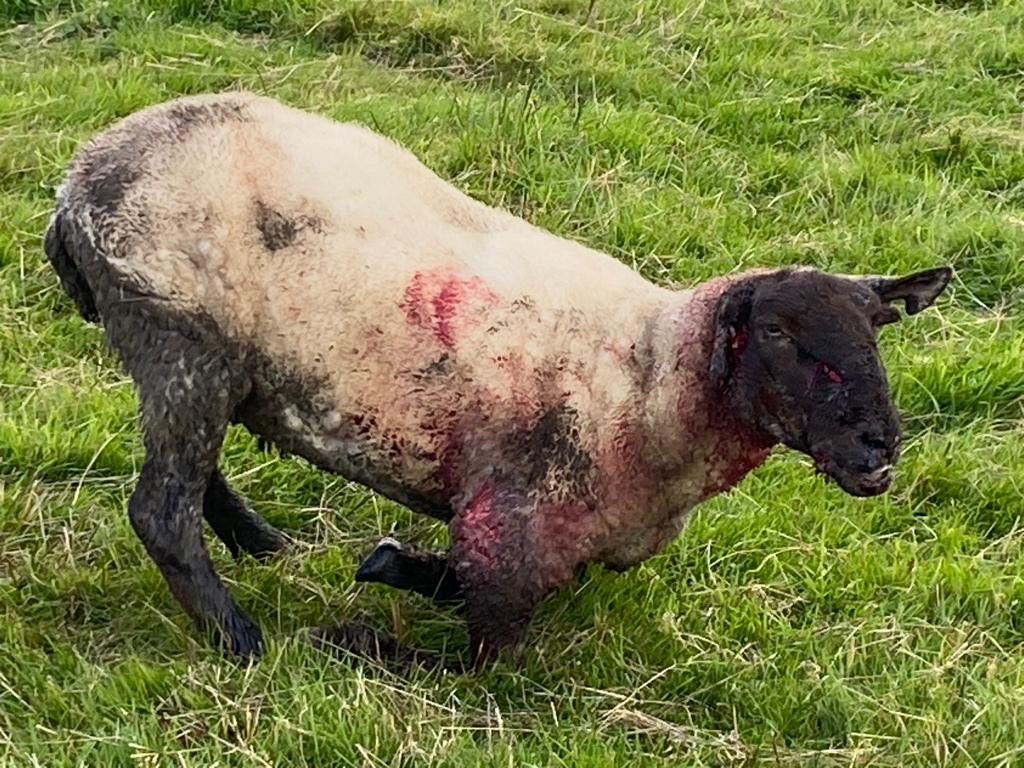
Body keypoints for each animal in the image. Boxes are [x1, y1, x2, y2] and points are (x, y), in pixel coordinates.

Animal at [44, 91, 952, 666]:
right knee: (160, 509)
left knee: (192, 477)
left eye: (877, 332)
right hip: (182, 338)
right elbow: (477, 659)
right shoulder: (511, 532)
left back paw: (264, 547)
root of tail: (78, 185)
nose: (879, 446)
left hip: (200, 361)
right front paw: (360, 635)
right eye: (777, 333)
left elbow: (452, 584)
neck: (656, 378)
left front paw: (390, 567)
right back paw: (240, 640)